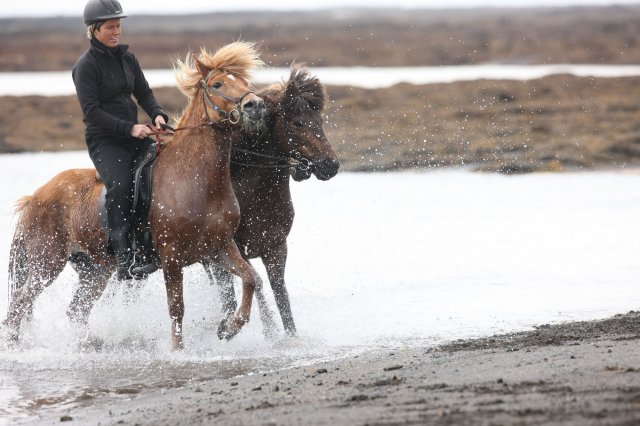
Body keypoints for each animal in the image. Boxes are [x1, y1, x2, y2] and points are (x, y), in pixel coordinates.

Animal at [5, 41, 264, 350]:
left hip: (95, 270)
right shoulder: (172, 258)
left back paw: (88, 345)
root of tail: (35, 196)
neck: (197, 180)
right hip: (47, 263)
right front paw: (178, 350)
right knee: (20, 304)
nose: (255, 105)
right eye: (217, 84)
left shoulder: (219, 248)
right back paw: (16, 347)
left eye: (245, 82)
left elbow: (251, 279)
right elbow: (176, 307)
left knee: (76, 309)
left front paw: (228, 328)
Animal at [204, 63, 340, 336]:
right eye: (298, 122)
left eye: (319, 120)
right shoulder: (231, 251)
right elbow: (240, 290)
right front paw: (231, 327)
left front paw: (287, 336)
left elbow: (280, 296)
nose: (330, 165)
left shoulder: (276, 248)